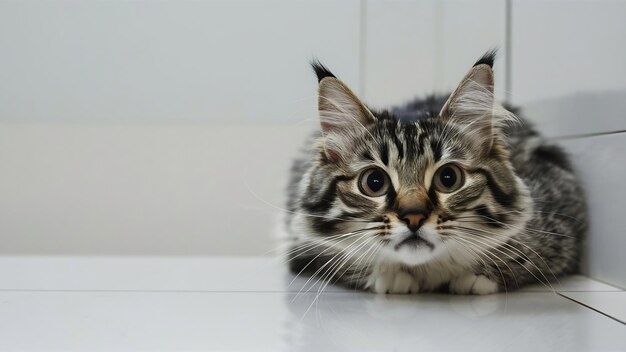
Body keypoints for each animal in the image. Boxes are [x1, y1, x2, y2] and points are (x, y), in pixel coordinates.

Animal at [284, 51, 584, 294]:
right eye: (374, 182)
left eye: (448, 178)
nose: (413, 217)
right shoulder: (298, 240)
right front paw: (391, 277)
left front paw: (475, 279)